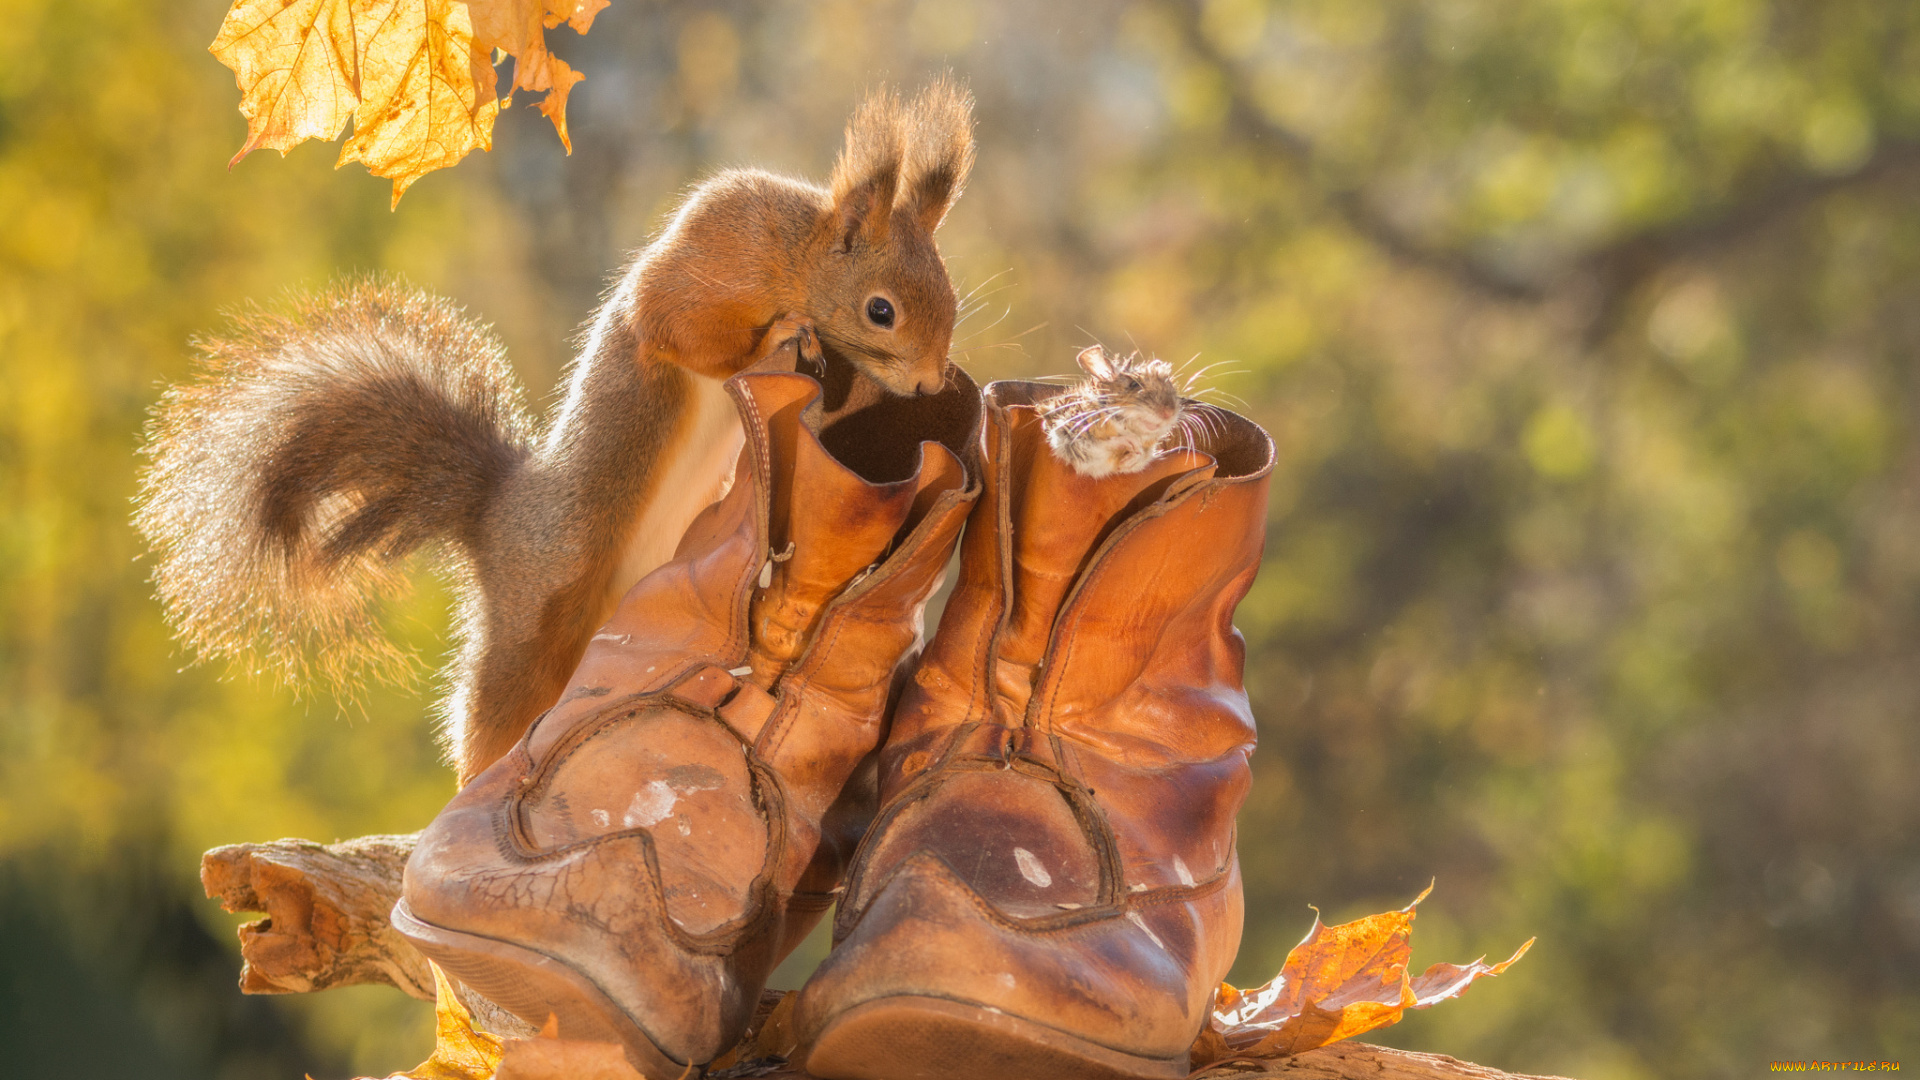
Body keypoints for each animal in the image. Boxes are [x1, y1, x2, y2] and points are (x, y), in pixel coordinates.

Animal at [135, 77, 975, 780]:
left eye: (950, 296)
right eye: (880, 310)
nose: (933, 383)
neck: (795, 255)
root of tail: (496, 518)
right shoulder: (707, 266)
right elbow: (680, 330)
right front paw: (782, 336)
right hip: (538, 614)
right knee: (494, 716)